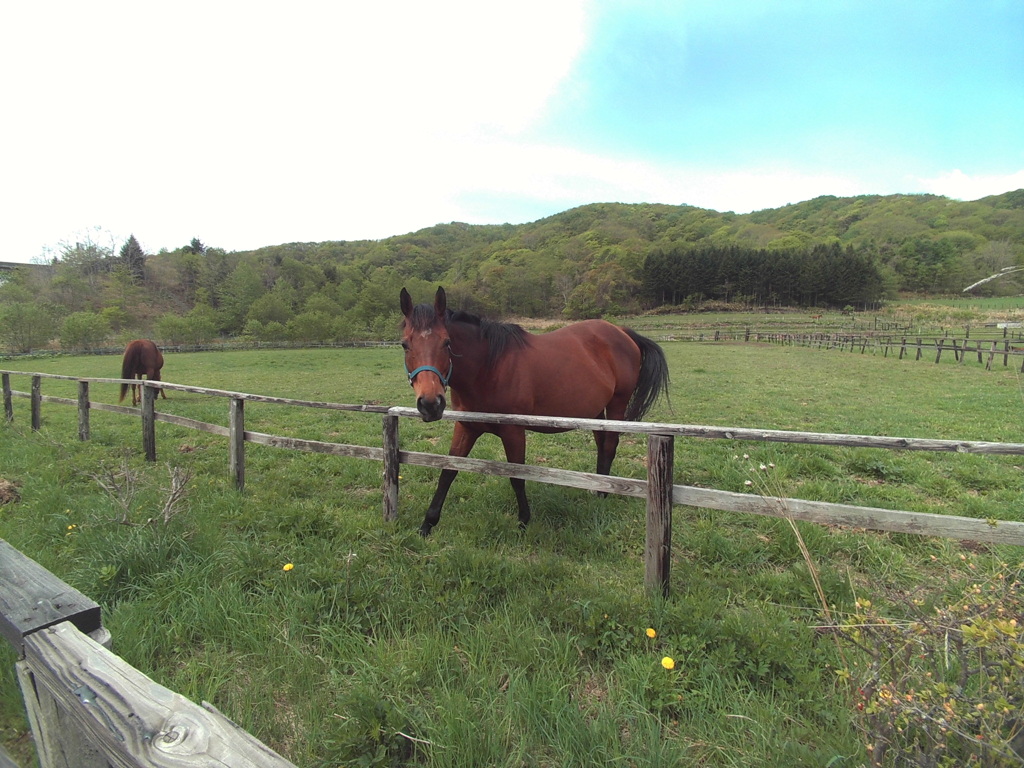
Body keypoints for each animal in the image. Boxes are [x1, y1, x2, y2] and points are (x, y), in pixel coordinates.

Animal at [399, 286, 671, 536]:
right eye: (404, 344)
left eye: (447, 343)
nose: (430, 404)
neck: (488, 368)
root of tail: (622, 332)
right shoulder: (466, 428)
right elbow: (448, 471)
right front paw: (427, 524)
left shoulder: (513, 432)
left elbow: (517, 477)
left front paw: (523, 521)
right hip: (595, 413)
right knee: (602, 447)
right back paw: (599, 490)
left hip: (617, 405)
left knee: (610, 446)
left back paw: (603, 496)